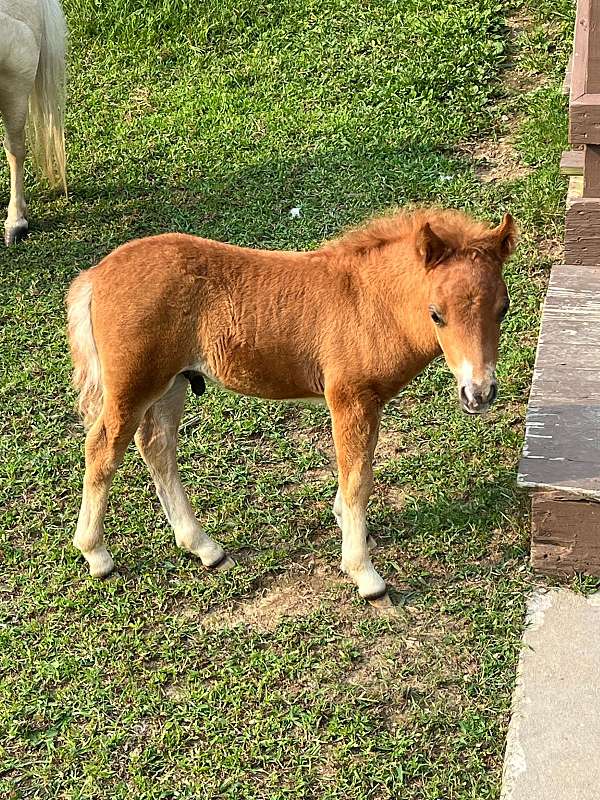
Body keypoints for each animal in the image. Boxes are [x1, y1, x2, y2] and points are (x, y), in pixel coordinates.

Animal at [67, 209, 516, 604]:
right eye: (436, 314)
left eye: (503, 308)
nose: (479, 393)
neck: (368, 302)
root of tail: (95, 275)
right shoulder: (350, 399)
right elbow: (358, 479)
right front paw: (364, 574)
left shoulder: (367, 402)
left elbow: (358, 471)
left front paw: (350, 527)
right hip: (133, 386)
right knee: (103, 448)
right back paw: (96, 554)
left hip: (172, 384)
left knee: (157, 448)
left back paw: (204, 547)